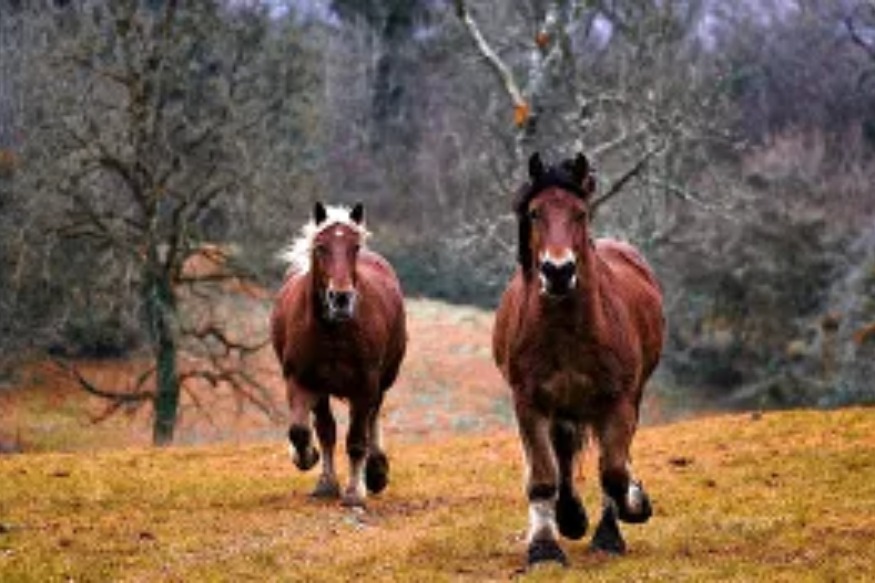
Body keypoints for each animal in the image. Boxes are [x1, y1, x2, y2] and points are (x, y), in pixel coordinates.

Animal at [271, 202, 407, 508]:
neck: (333, 331)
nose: (341, 298)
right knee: (326, 428)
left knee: (372, 417)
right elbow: (306, 431)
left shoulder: (365, 384)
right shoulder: (302, 380)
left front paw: (355, 492)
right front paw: (312, 466)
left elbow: (356, 439)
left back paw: (376, 472)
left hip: (382, 381)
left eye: (354, 247)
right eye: (321, 246)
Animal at [493, 152, 665, 567]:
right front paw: (544, 546)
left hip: (626, 398)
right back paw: (569, 516)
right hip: (563, 407)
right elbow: (543, 476)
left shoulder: (617, 401)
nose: (558, 272)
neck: (567, 330)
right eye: (535, 213)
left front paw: (631, 510)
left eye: (580, 213)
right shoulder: (530, 402)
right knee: (563, 454)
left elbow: (614, 472)